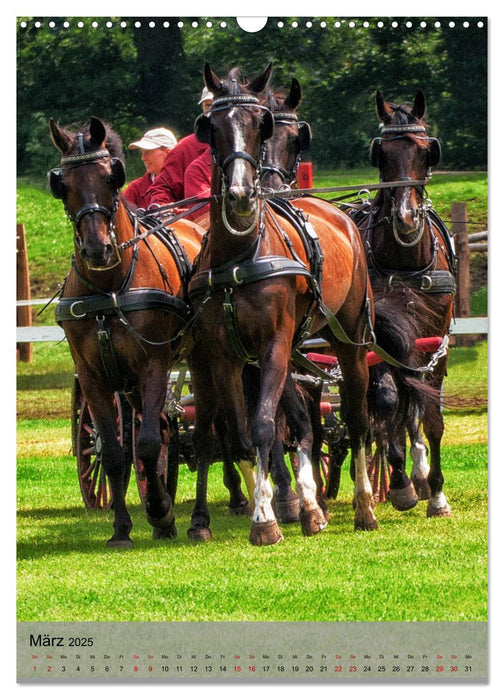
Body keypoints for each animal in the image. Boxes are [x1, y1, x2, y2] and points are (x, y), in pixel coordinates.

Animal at [47, 117, 205, 548]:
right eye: (63, 184)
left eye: (109, 177)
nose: (97, 249)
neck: (109, 287)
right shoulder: (94, 376)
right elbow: (116, 451)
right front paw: (123, 528)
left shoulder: (153, 364)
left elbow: (146, 445)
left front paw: (160, 511)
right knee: (166, 428)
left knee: (210, 430)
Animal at [185, 64, 394, 548]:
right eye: (212, 128)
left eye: (259, 126)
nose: (243, 195)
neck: (240, 255)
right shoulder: (226, 355)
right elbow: (242, 433)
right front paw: (274, 508)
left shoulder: (274, 345)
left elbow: (264, 426)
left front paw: (265, 519)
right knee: (299, 421)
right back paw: (310, 507)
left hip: (349, 339)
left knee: (356, 417)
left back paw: (363, 506)